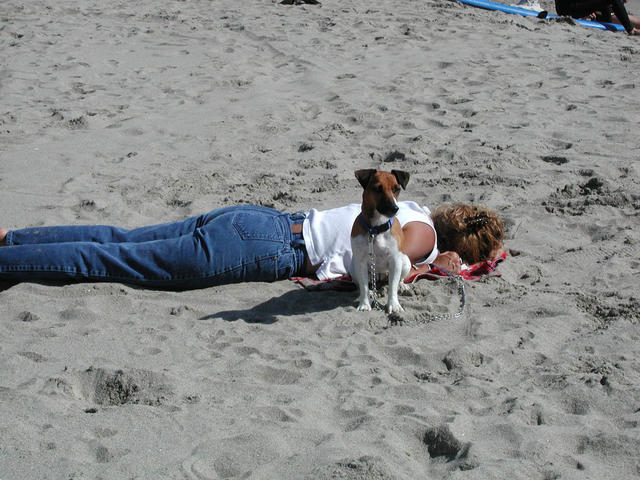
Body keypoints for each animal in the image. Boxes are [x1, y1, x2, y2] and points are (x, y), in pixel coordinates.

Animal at [350, 169, 411, 313]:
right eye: (378, 189)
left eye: (397, 189)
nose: (395, 208)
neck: (376, 229)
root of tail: (379, 274)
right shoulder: (360, 262)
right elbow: (364, 286)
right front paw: (364, 304)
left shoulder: (395, 260)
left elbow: (393, 286)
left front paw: (394, 305)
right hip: (353, 267)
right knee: (363, 284)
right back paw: (372, 292)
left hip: (405, 262)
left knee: (399, 279)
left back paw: (402, 286)